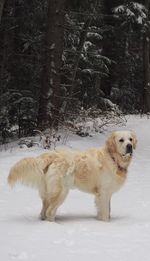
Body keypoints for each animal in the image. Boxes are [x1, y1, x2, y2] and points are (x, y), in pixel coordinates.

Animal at [8, 130, 137, 221]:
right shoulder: (103, 192)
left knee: (43, 211)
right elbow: (105, 213)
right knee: (50, 212)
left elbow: (107, 211)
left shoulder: (106, 193)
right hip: (61, 191)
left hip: (48, 192)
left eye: (130, 139)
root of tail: (52, 154)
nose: (129, 146)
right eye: (121, 140)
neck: (113, 158)